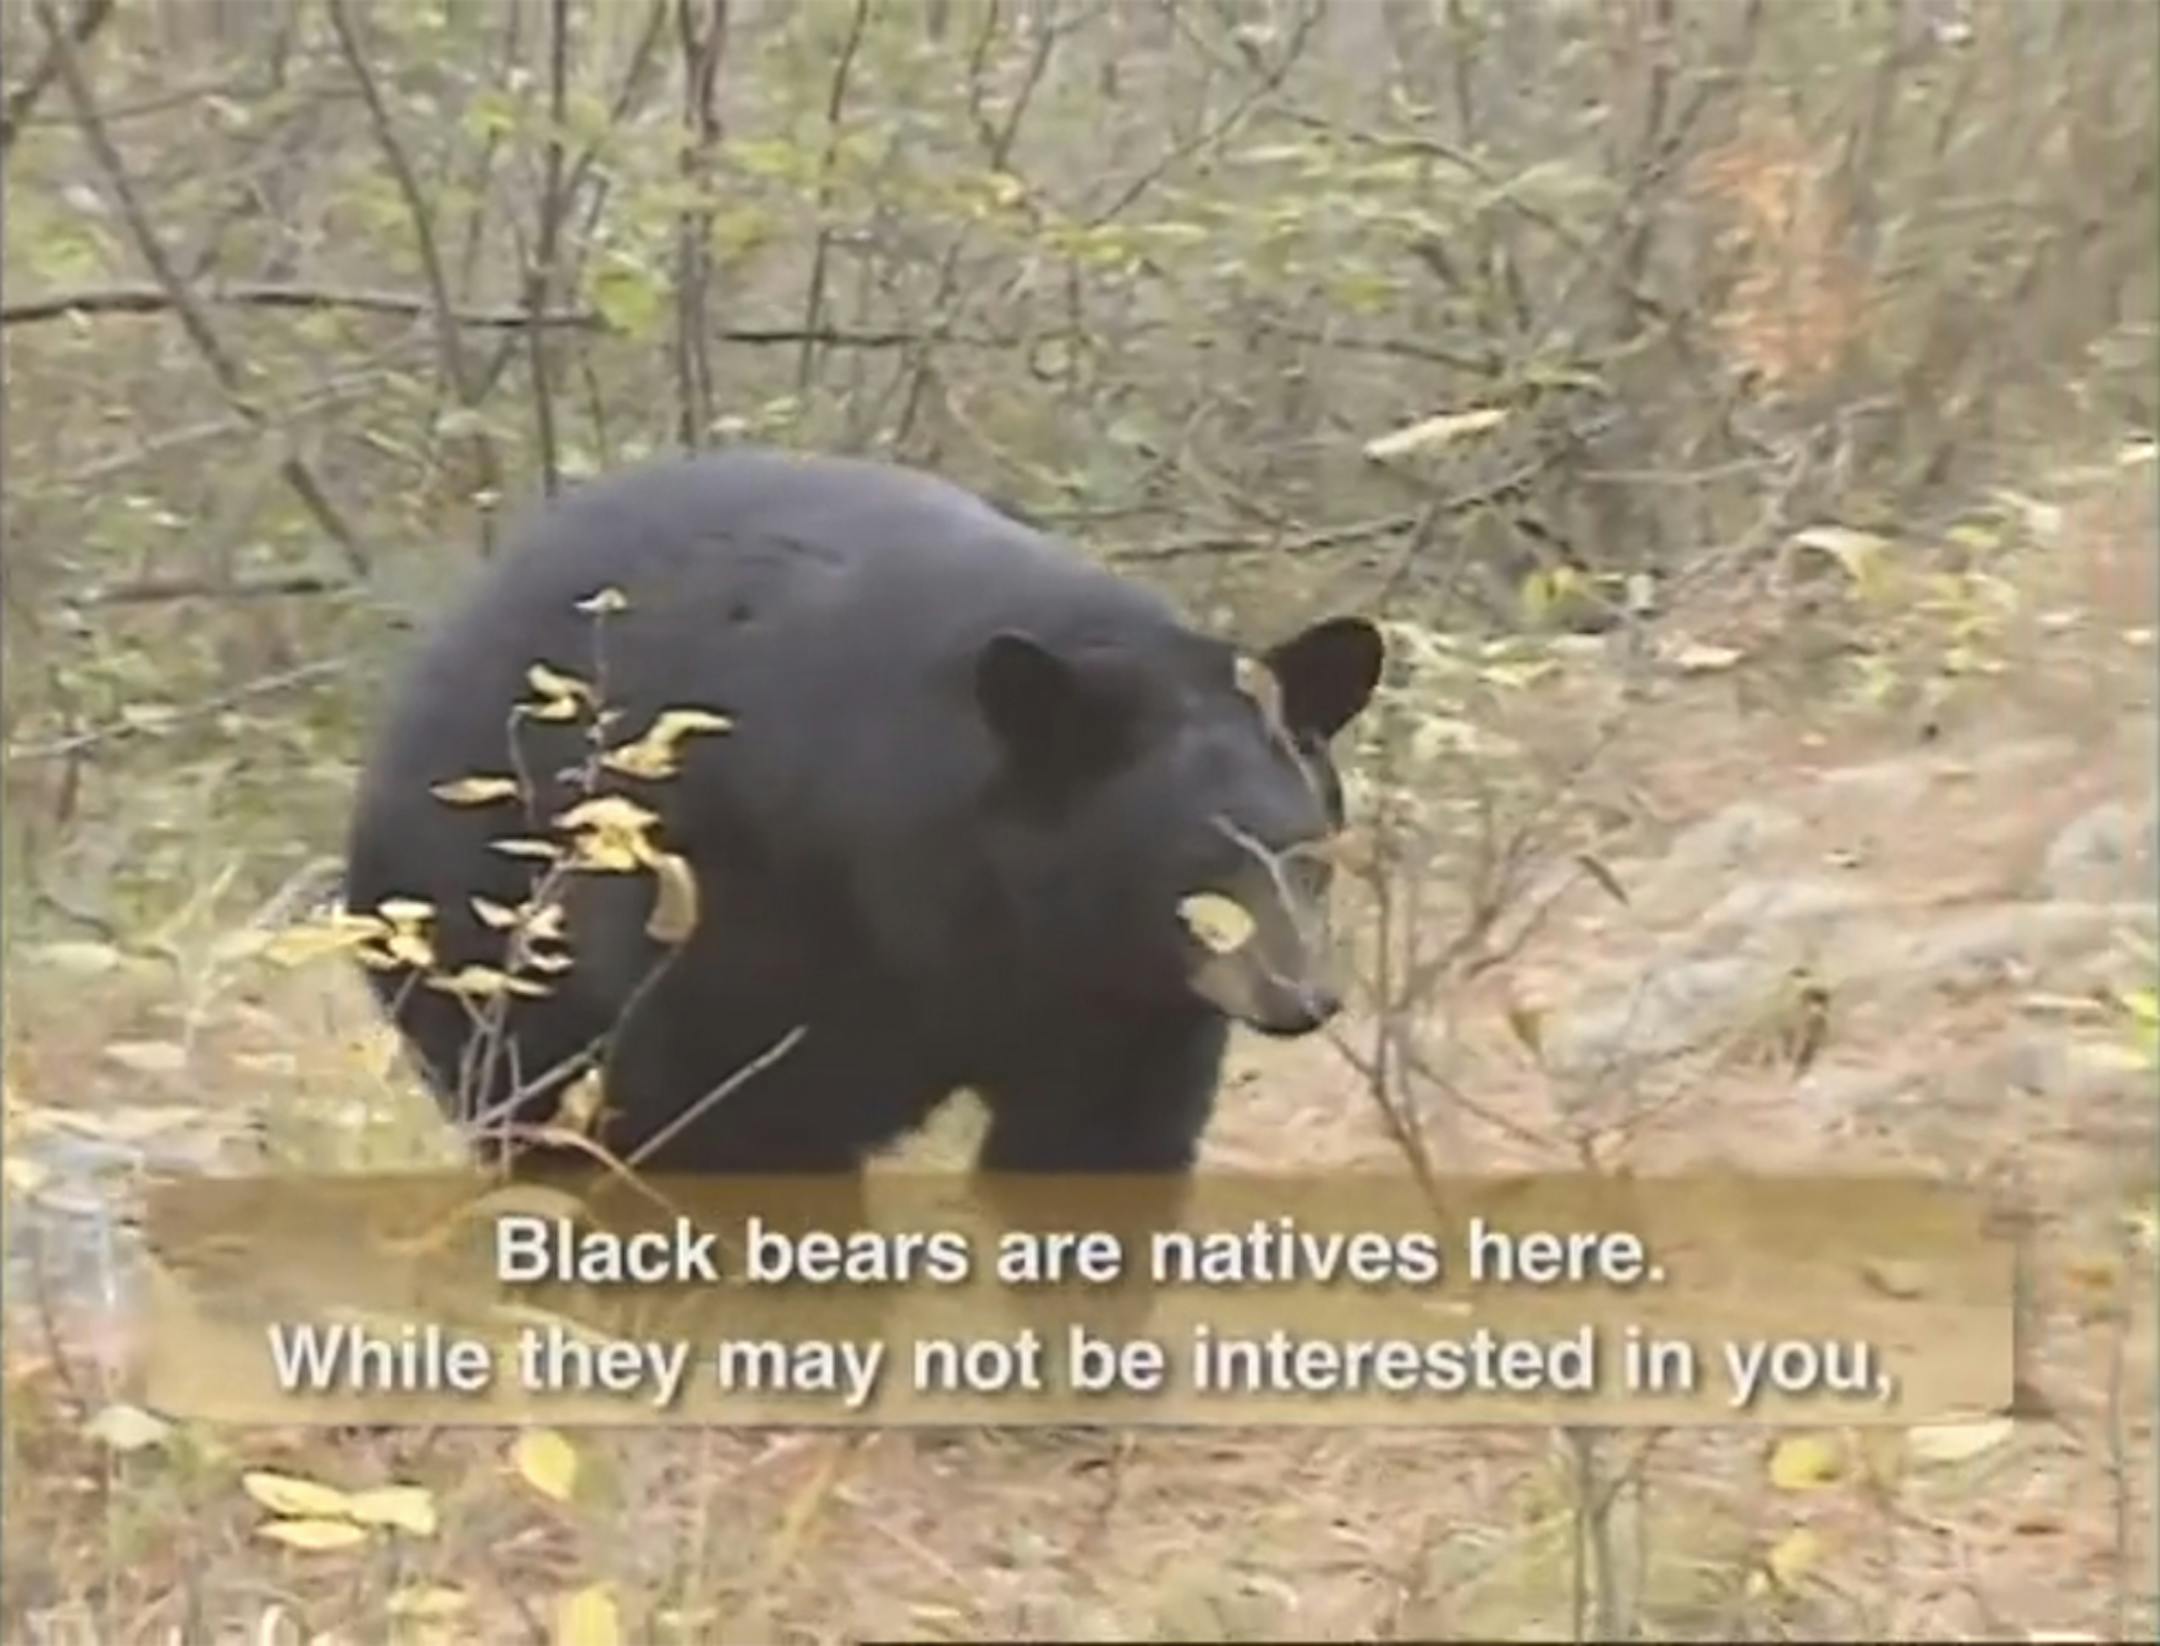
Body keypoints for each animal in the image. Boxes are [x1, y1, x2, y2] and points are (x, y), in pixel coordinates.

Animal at [343, 448, 1384, 1182]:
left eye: (1309, 853)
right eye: (1191, 867)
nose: (1302, 998)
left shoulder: (1122, 1002)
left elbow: (1101, 1142)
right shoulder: (735, 911)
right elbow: (726, 1112)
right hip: (469, 930)